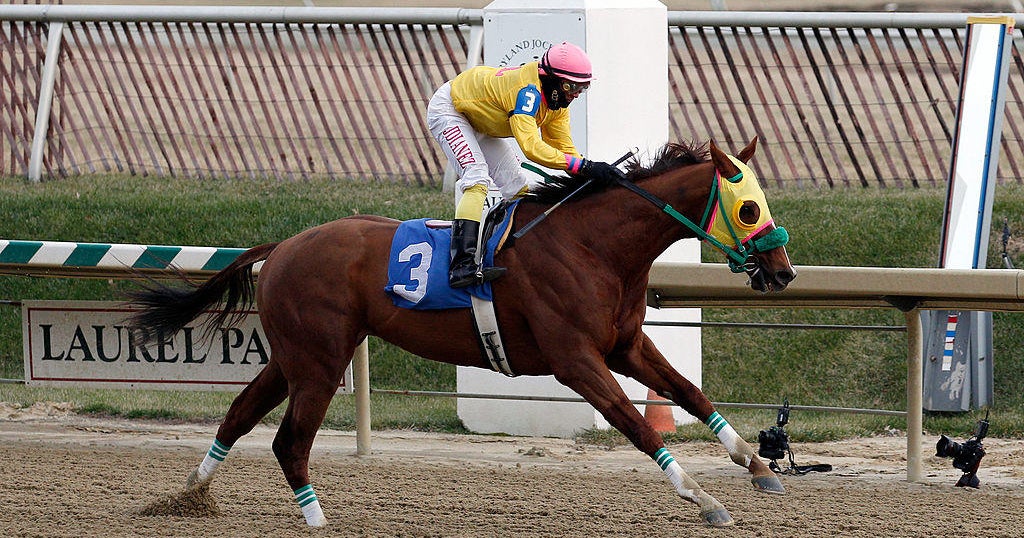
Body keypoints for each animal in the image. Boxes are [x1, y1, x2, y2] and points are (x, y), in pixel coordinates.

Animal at [126, 137, 796, 528]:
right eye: (748, 208)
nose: (782, 270)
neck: (594, 247)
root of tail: (283, 245)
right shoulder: (575, 359)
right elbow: (635, 424)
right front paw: (705, 499)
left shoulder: (624, 344)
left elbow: (688, 392)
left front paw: (756, 465)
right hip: (318, 361)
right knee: (289, 441)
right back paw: (316, 522)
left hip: (294, 356)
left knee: (239, 415)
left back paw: (187, 497)